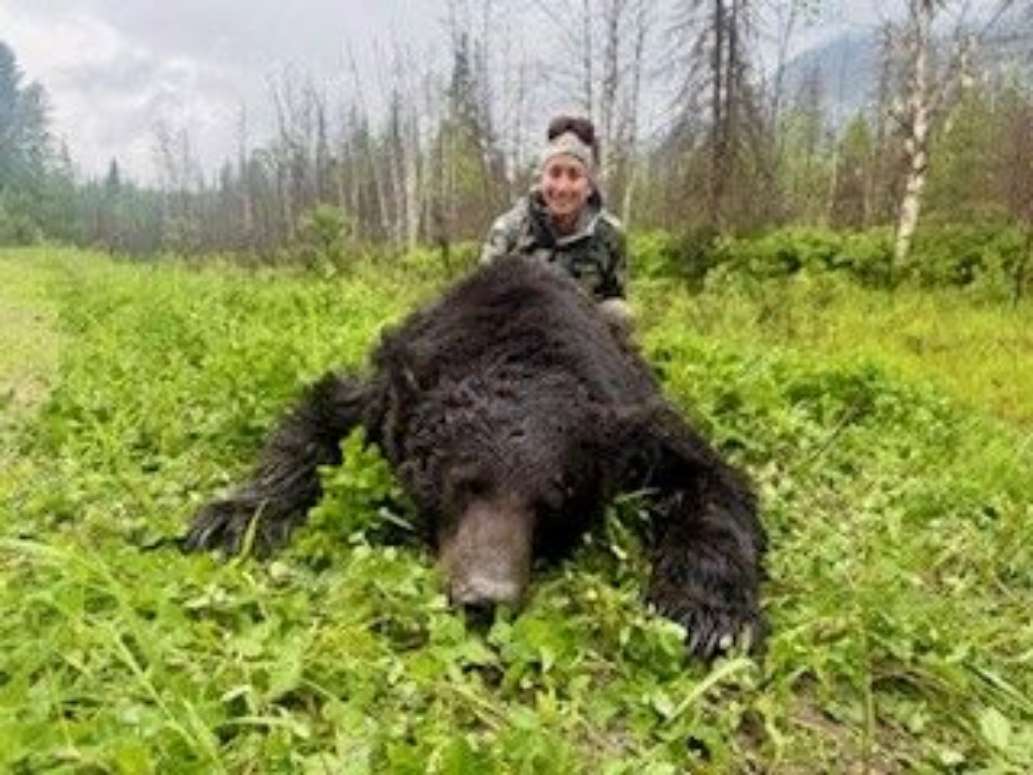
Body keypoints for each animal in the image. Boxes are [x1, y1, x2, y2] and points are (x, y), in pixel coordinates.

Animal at [182, 256, 766, 659]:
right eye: (458, 481)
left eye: (556, 496)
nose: (485, 597)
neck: (521, 347)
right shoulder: (387, 393)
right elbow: (316, 421)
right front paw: (236, 518)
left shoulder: (636, 422)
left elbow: (711, 480)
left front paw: (707, 614)